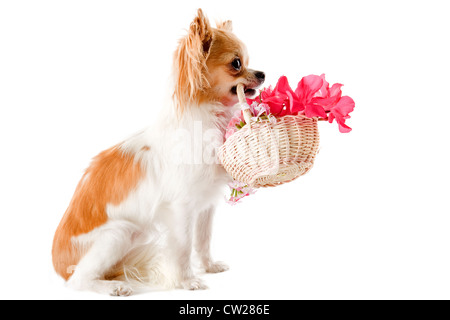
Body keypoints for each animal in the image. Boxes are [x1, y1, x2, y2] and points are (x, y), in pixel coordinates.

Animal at [51, 8, 264, 296]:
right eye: (237, 64)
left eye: (249, 62)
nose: (262, 74)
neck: (209, 118)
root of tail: (58, 263)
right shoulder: (181, 209)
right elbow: (184, 247)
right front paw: (188, 281)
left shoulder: (205, 205)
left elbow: (203, 240)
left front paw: (208, 266)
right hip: (118, 233)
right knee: (79, 280)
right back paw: (113, 287)